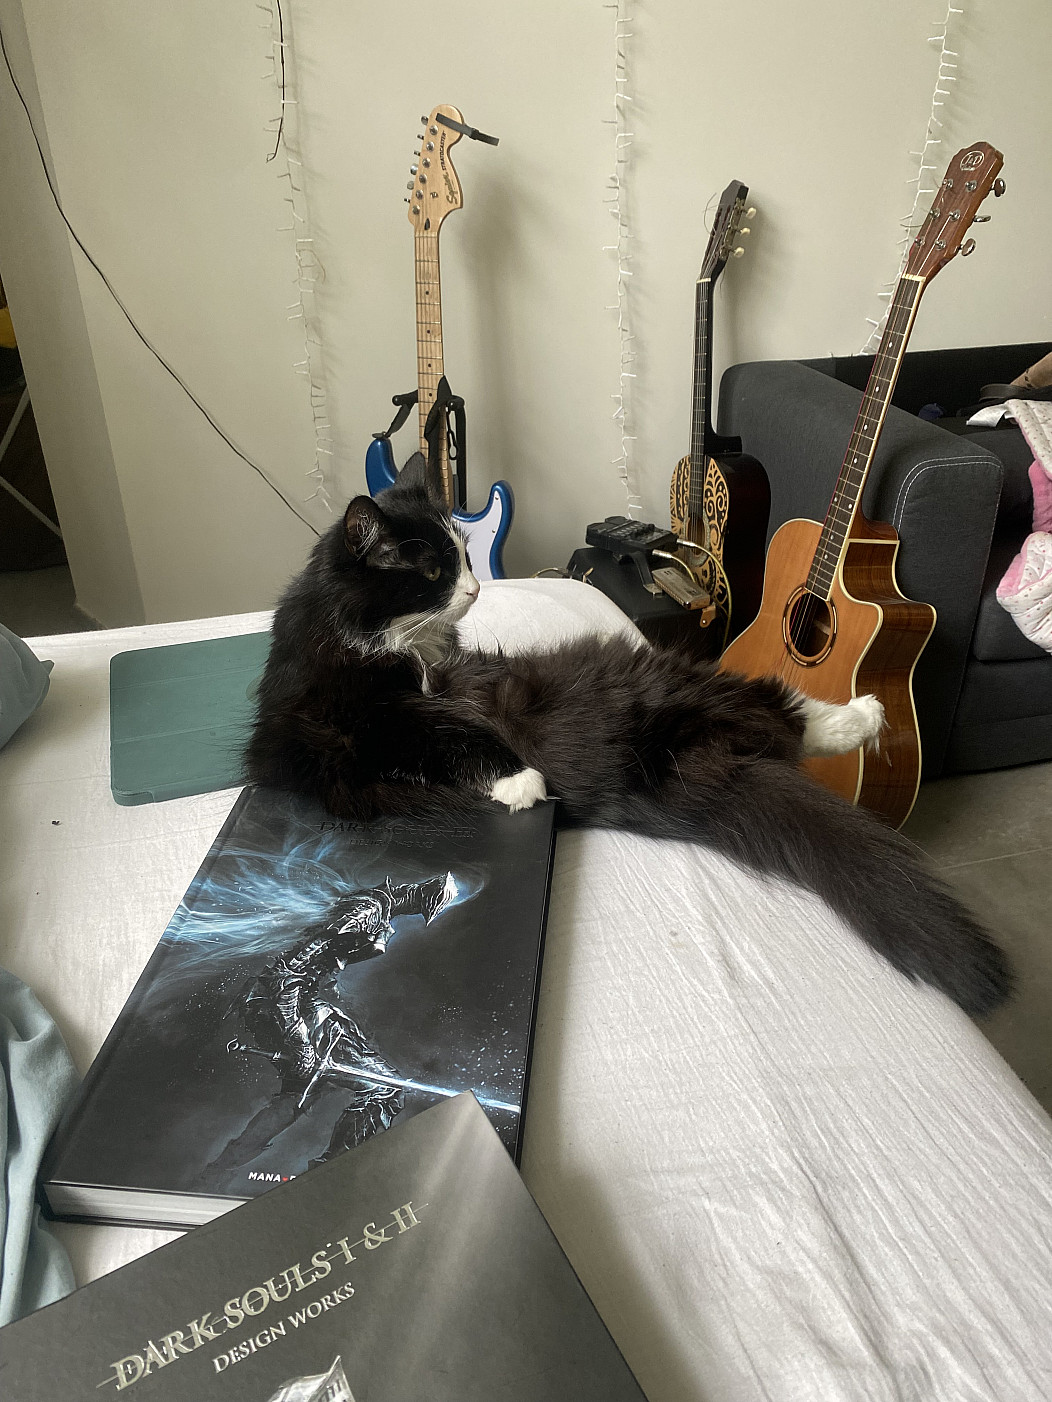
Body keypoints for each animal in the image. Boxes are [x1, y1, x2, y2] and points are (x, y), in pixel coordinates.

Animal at [246, 452, 1011, 1018]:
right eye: (432, 570)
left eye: (464, 557)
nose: (473, 591)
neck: (356, 633)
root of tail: (694, 760)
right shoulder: (354, 723)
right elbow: (441, 731)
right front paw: (521, 782)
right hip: (680, 685)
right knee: (784, 716)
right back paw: (866, 716)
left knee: (784, 718)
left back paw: (868, 717)